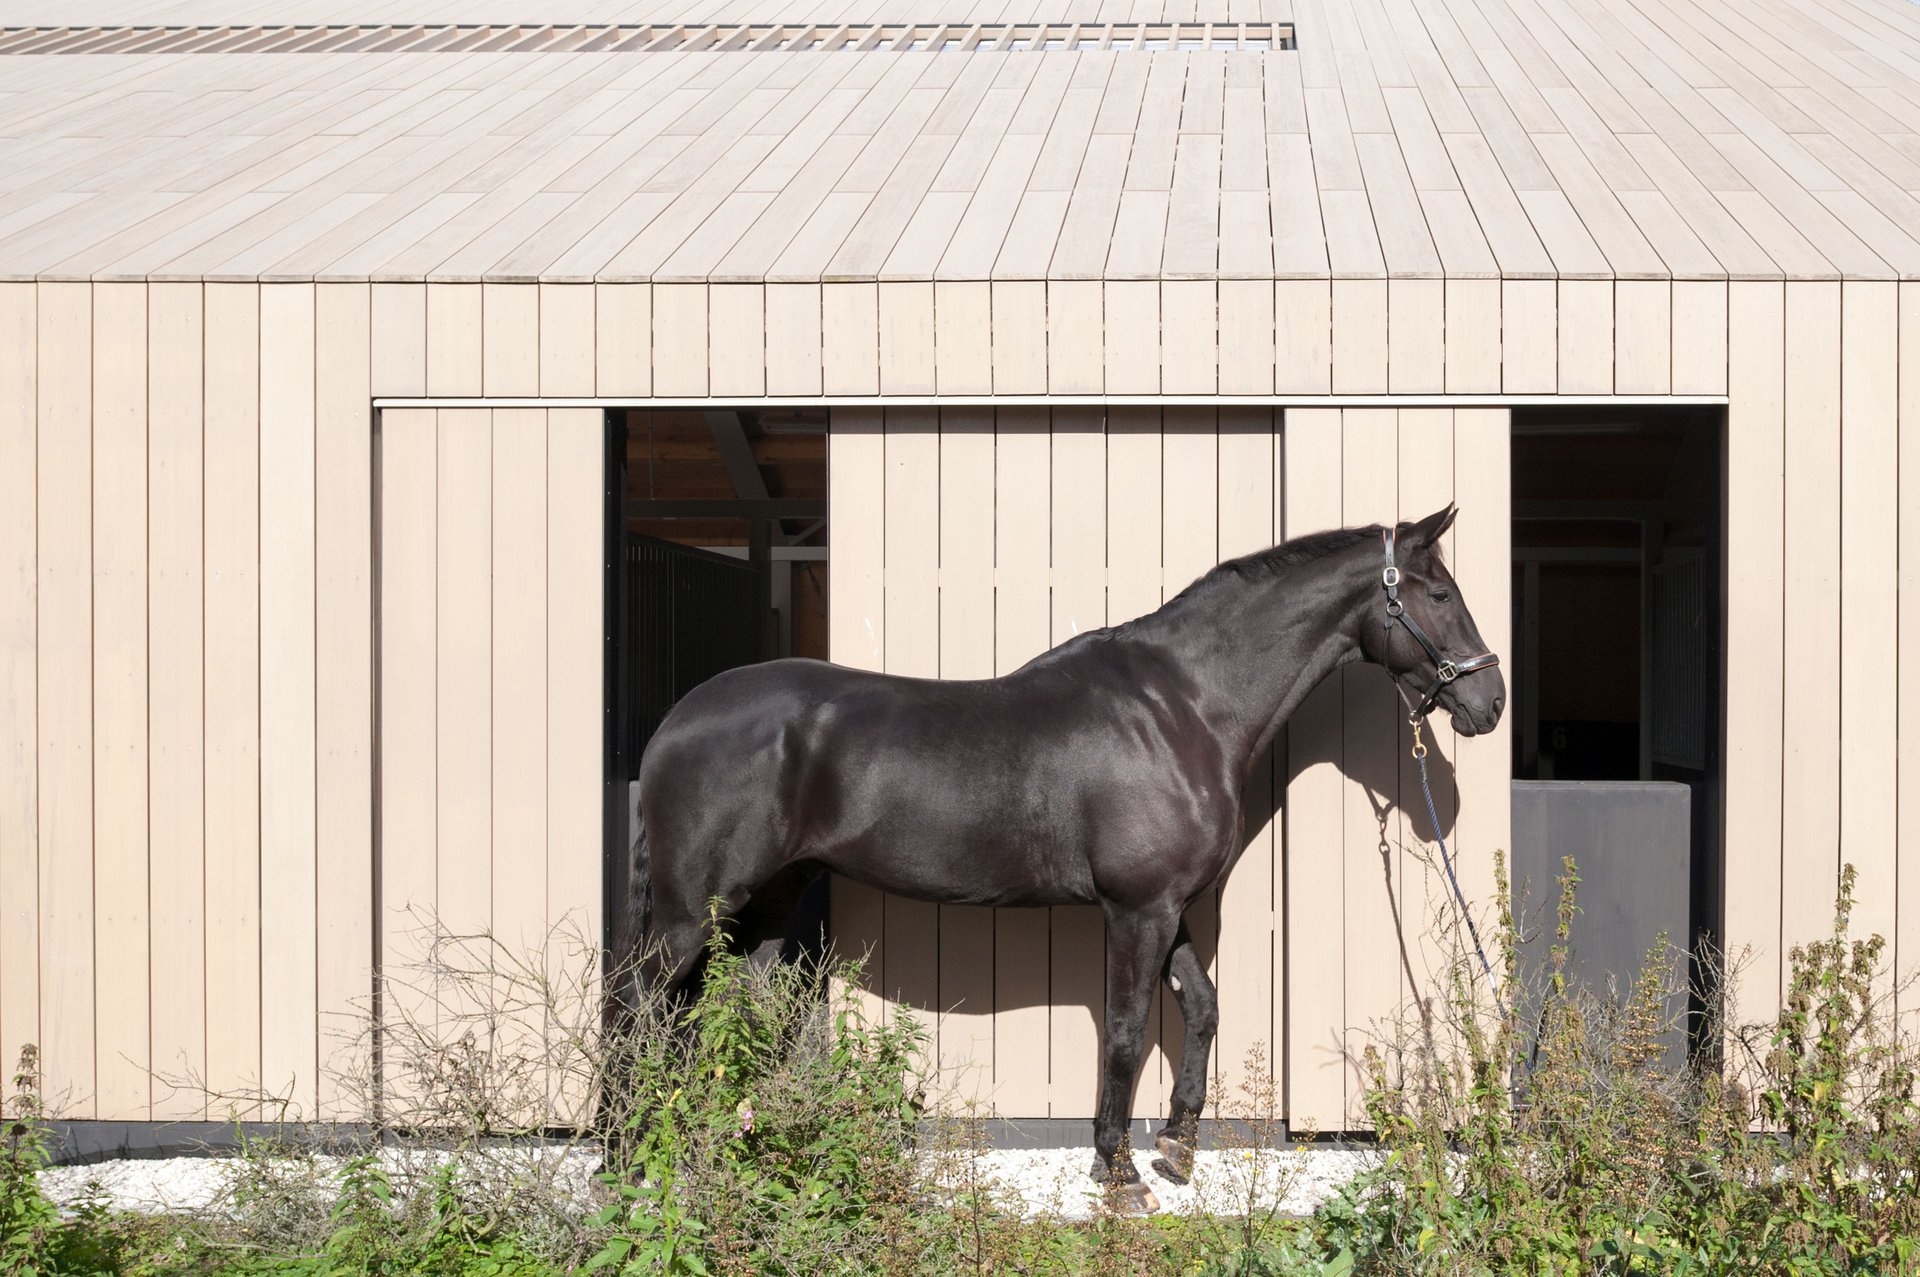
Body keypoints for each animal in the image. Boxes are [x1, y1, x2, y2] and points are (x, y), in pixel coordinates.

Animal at [609, 504, 1505, 1212]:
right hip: (691, 914)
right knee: (640, 1014)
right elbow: (1125, 1032)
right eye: (1440, 593)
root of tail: (677, 721)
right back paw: (630, 1162)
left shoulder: (1168, 905)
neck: (1184, 706)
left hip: (761, 904)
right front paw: (1118, 1172)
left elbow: (1202, 1007)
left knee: (717, 1015)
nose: (1488, 702)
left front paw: (1177, 1145)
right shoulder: (1137, 908)